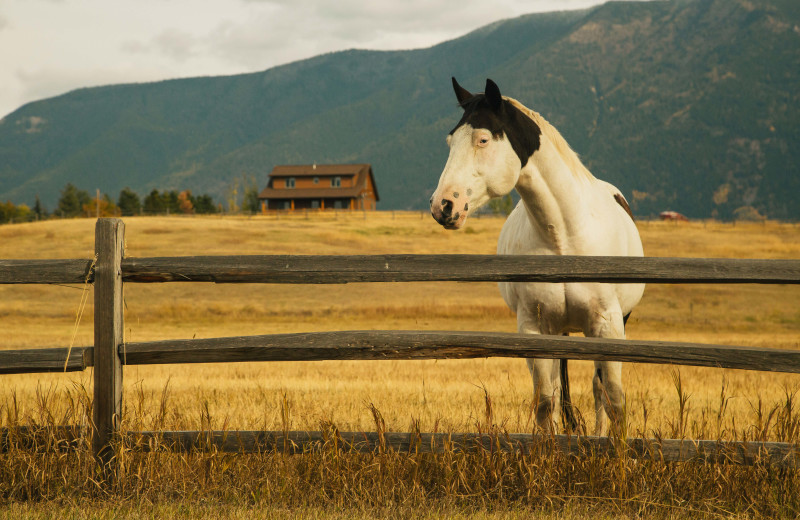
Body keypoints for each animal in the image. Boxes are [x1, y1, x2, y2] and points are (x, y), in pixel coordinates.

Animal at [432, 77, 644, 434]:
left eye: (483, 139)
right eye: (449, 141)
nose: (443, 205)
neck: (564, 235)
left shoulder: (609, 325)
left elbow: (614, 399)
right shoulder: (534, 327)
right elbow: (546, 403)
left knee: (598, 388)